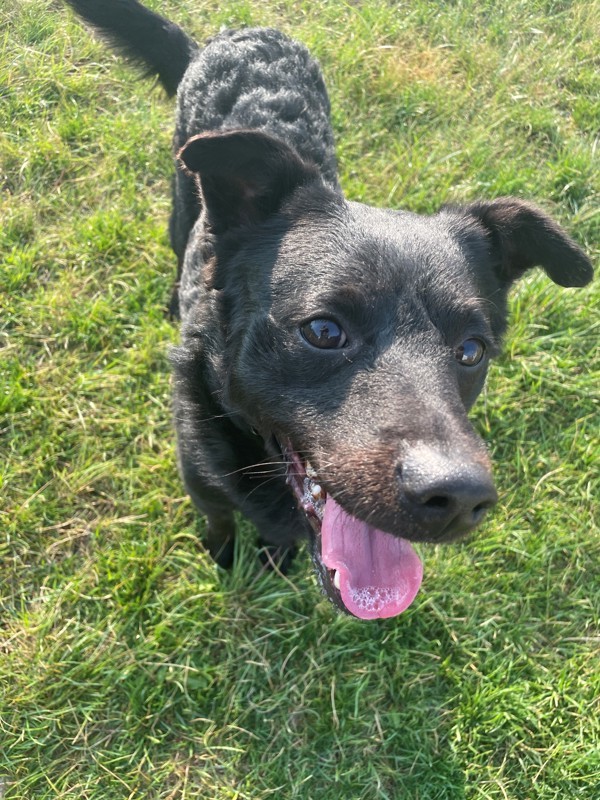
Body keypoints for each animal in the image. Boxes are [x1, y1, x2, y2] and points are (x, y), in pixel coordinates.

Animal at [64, 0, 592, 620]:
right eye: (322, 330)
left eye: (471, 350)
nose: (461, 497)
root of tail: (235, 36)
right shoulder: (199, 474)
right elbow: (219, 517)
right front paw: (224, 552)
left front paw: (272, 556)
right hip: (180, 193)